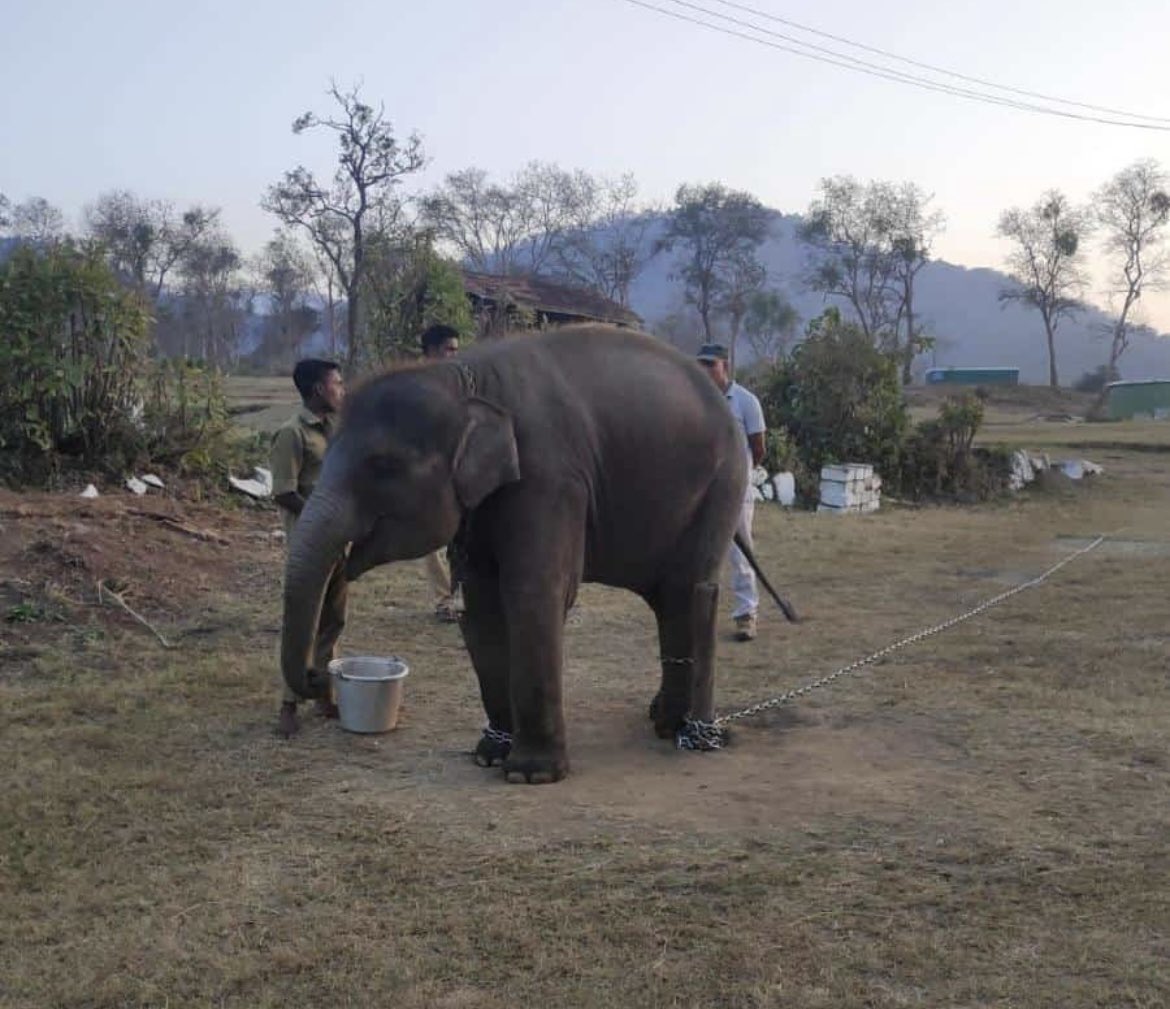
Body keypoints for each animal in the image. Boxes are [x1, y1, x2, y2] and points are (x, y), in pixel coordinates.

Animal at [280, 324, 794, 784]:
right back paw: (664, 720)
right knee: (670, 598)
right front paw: (489, 754)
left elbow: (535, 592)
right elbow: (482, 605)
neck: (463, 380)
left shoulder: (550, 477)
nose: (320, 677)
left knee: (693, 589)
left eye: (383, 466)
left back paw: (692, 732)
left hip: (724, 481)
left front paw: (530, 774)